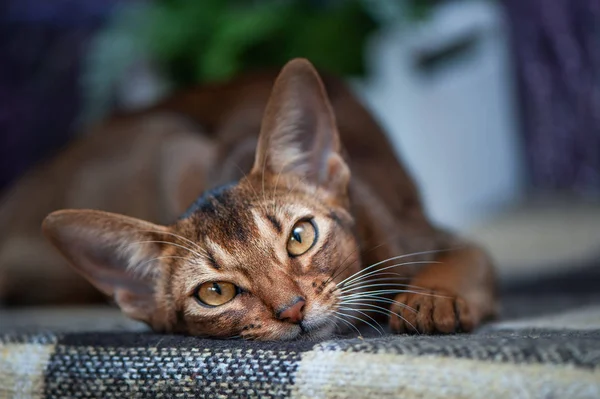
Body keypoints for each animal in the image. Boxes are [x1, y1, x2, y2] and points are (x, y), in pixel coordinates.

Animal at [3, 58, 496, 340]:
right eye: (215, 292)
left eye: (300, 236)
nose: (292, 310)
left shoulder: (422, 233)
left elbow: (463, 259)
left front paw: (432, 298)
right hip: (170, 140)